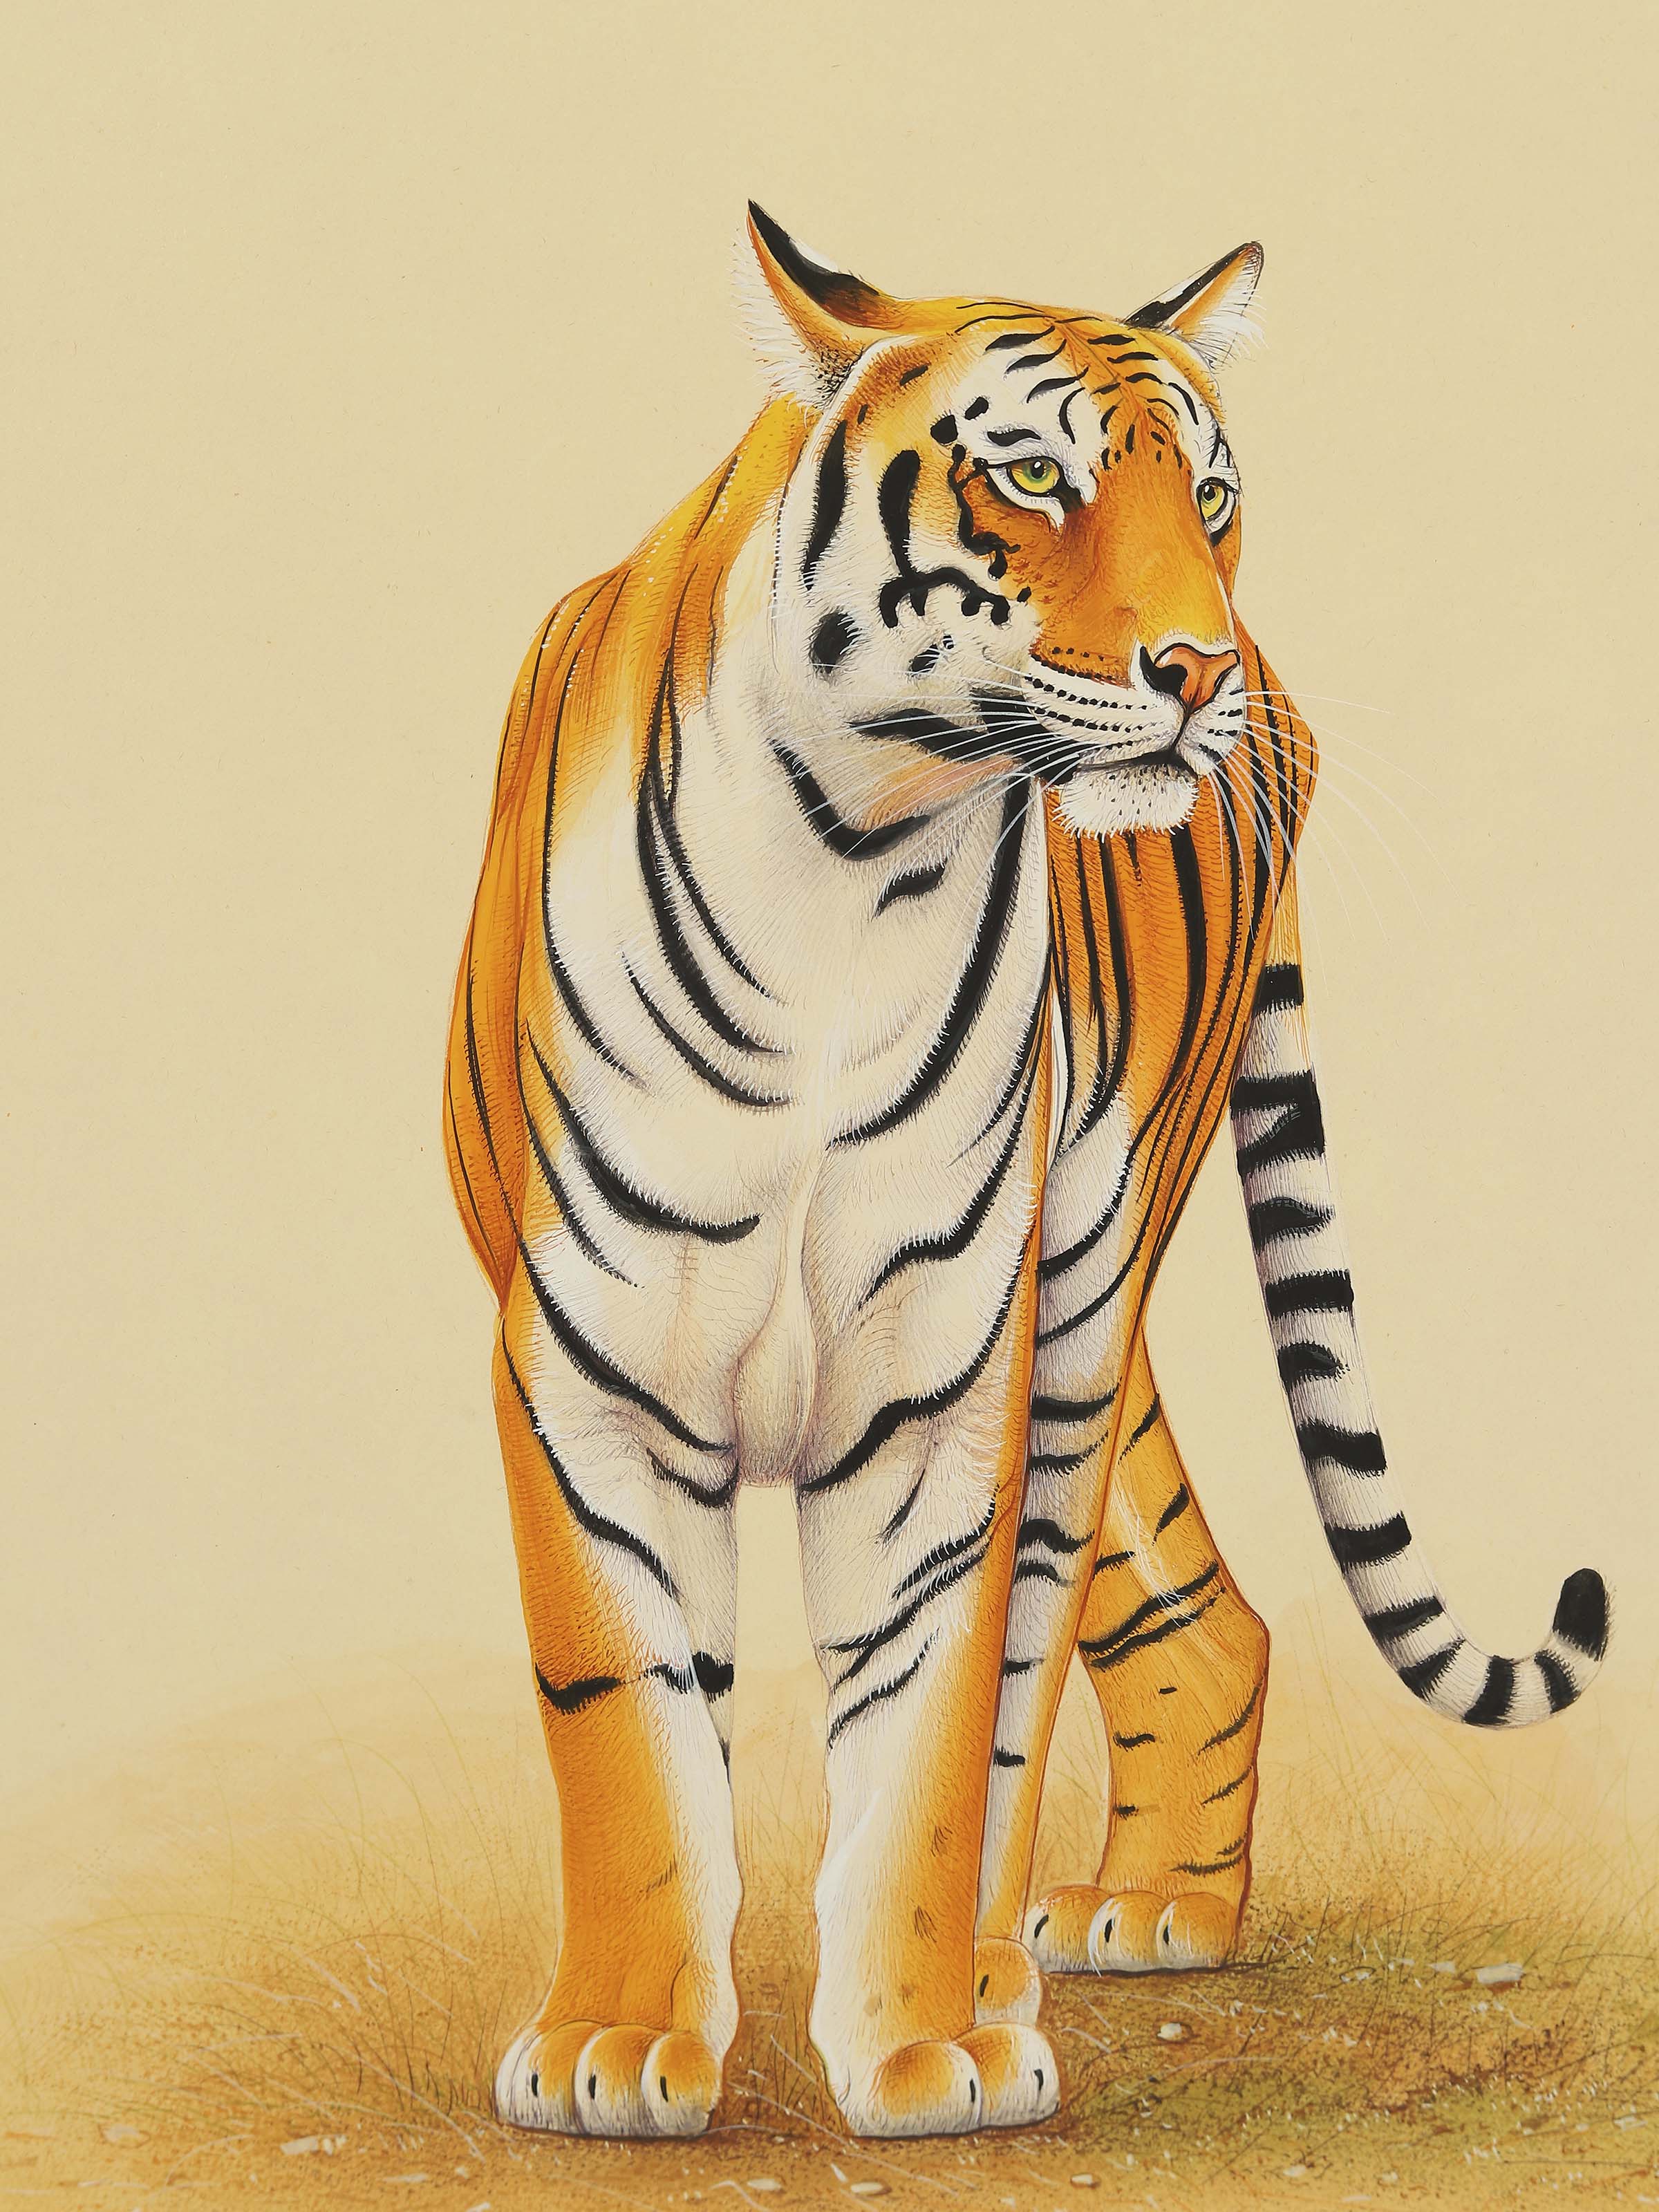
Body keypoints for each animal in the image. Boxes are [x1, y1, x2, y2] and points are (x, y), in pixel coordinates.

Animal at [443, 205, 1609, 2142]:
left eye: (1209, 494)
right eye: (1033, 476)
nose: (1197, 673)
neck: (855, 865)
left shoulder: (941, 1396)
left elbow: (931, 1726)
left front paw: (917, 2048)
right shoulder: (588, 1374)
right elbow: (627, 1722)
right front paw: (616, 2043)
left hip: (1071, 1308)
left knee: (1085, 1627)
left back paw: (1061, 1946)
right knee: (1194, 1605)